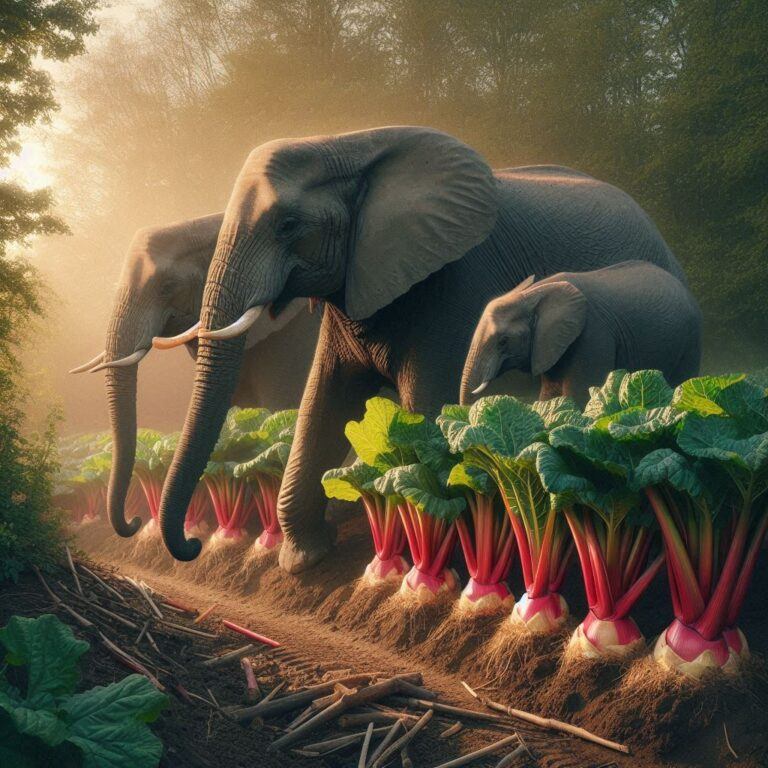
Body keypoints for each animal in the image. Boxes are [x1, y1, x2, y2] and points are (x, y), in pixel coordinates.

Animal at [462, 260, 704, 404]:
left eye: (503, 341)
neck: (536, 292)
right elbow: (549, 396)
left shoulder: (593, 335)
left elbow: (580, 393)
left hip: (691, 338)